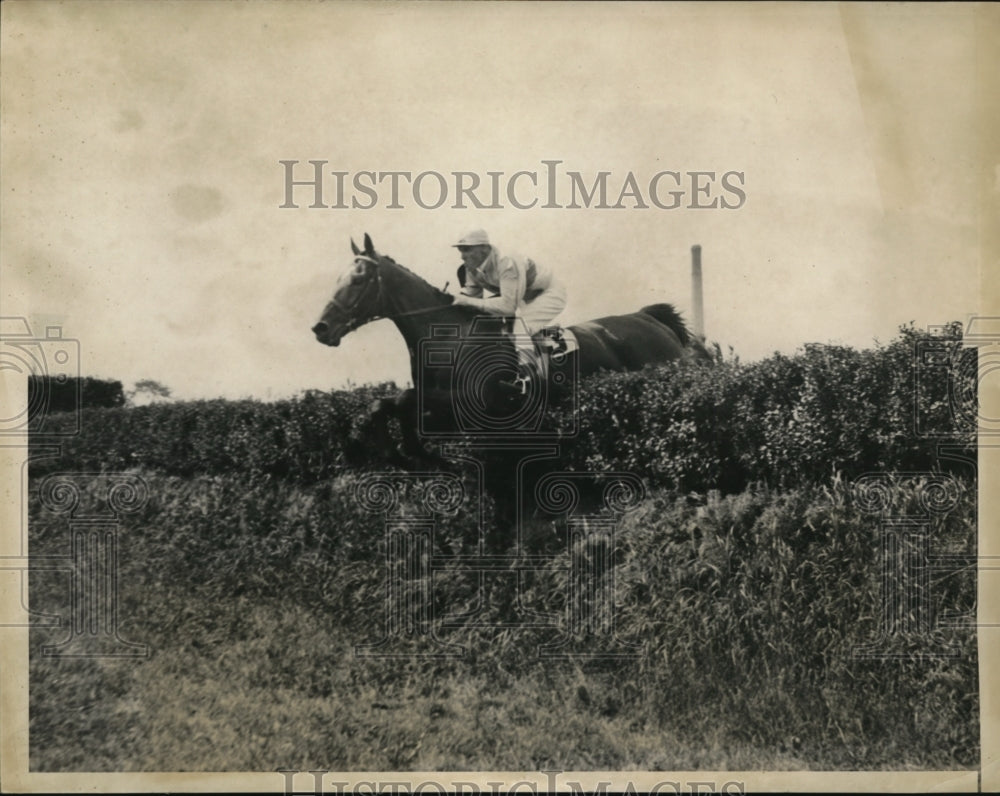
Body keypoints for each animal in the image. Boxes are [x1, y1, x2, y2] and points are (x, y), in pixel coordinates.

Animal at [312, 232, 712, 466]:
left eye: (358, 279)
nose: (321, 328)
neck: (447, 339)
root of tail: (653, 320)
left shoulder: (472, 405)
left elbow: (402, 400)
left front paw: (400, 447)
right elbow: (388, 402)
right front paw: (378, 442)